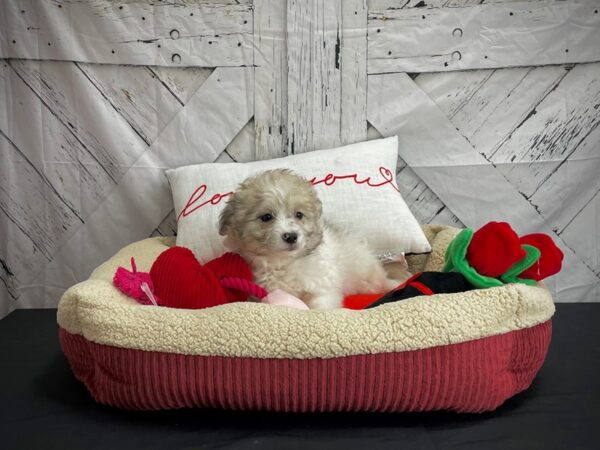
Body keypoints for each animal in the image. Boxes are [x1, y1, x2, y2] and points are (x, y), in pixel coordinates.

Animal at [217, 169, 404, 310]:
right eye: (266, 217)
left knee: (380, 282)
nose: (291, 236)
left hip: (366, 273)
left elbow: (319, 306)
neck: (284, 264)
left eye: (299, 215)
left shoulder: (322, 287)